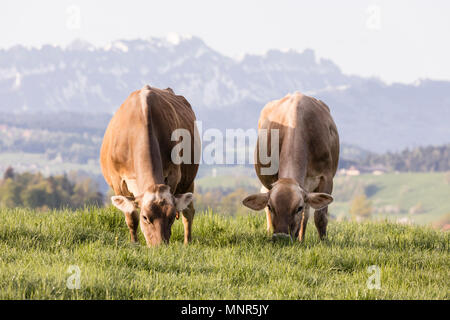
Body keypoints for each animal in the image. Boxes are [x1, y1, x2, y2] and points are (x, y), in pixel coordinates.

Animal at [103, 84, 201, 245]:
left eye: (171, 217)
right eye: (145, 217)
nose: (159, 246)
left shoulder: (174, 174)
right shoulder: (118, 180)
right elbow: (131, 216)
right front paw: (134, 244)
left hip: (189, 180)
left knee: (188, 212)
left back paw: (187, 242)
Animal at [243, 92, 338, 242]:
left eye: (298, 208)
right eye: (270, 206)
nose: (281, 237)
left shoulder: (326, 177)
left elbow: (320, 216)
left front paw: (324, 242)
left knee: (307, 213)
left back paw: (301, 239)